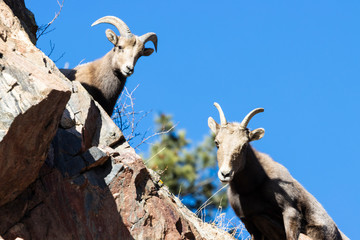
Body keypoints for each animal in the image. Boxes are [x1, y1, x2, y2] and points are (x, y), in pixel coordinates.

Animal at [208, 102, 348, 240]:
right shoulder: (249, 221)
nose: (225, 174)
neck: (252, 187)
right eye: (217, 142)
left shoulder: (290, 212)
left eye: (244, 145)